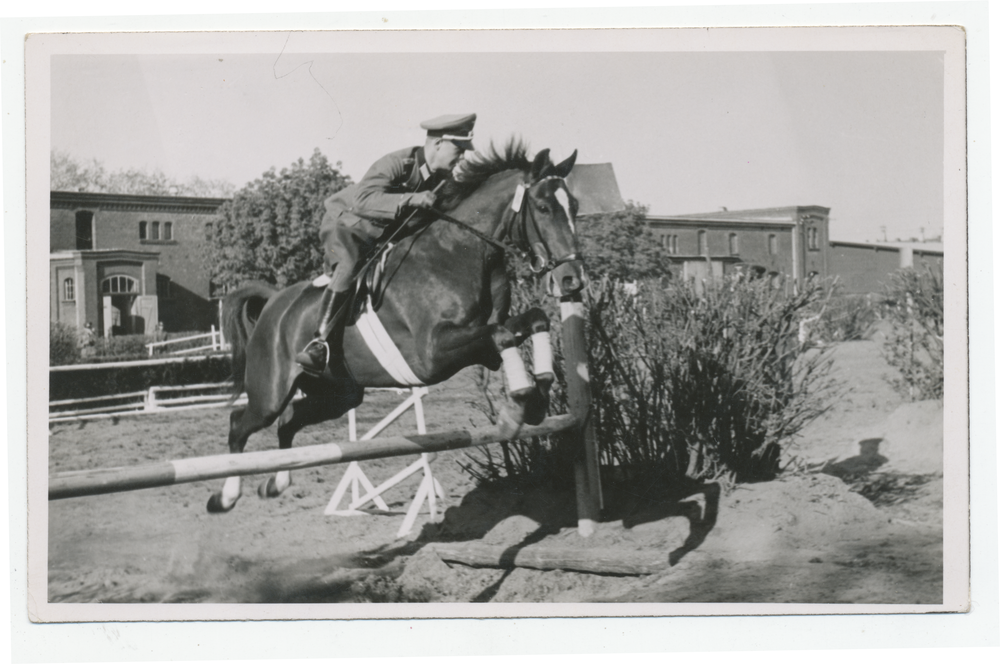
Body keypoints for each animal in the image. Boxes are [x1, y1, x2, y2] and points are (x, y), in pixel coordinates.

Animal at [211, 143, 584, 510]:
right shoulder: (433, 354)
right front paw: (518, 406)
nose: (572, 279)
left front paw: (540, 393)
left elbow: (533, 320)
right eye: (543, 207)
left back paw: (276, 483)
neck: (461, 252)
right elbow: (502, 334)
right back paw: (225, 497)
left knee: (289, 421)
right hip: (270, 392)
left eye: (575, 206)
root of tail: (274, 303)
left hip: (339, 394)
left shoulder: (485, 348)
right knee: (240, 424)